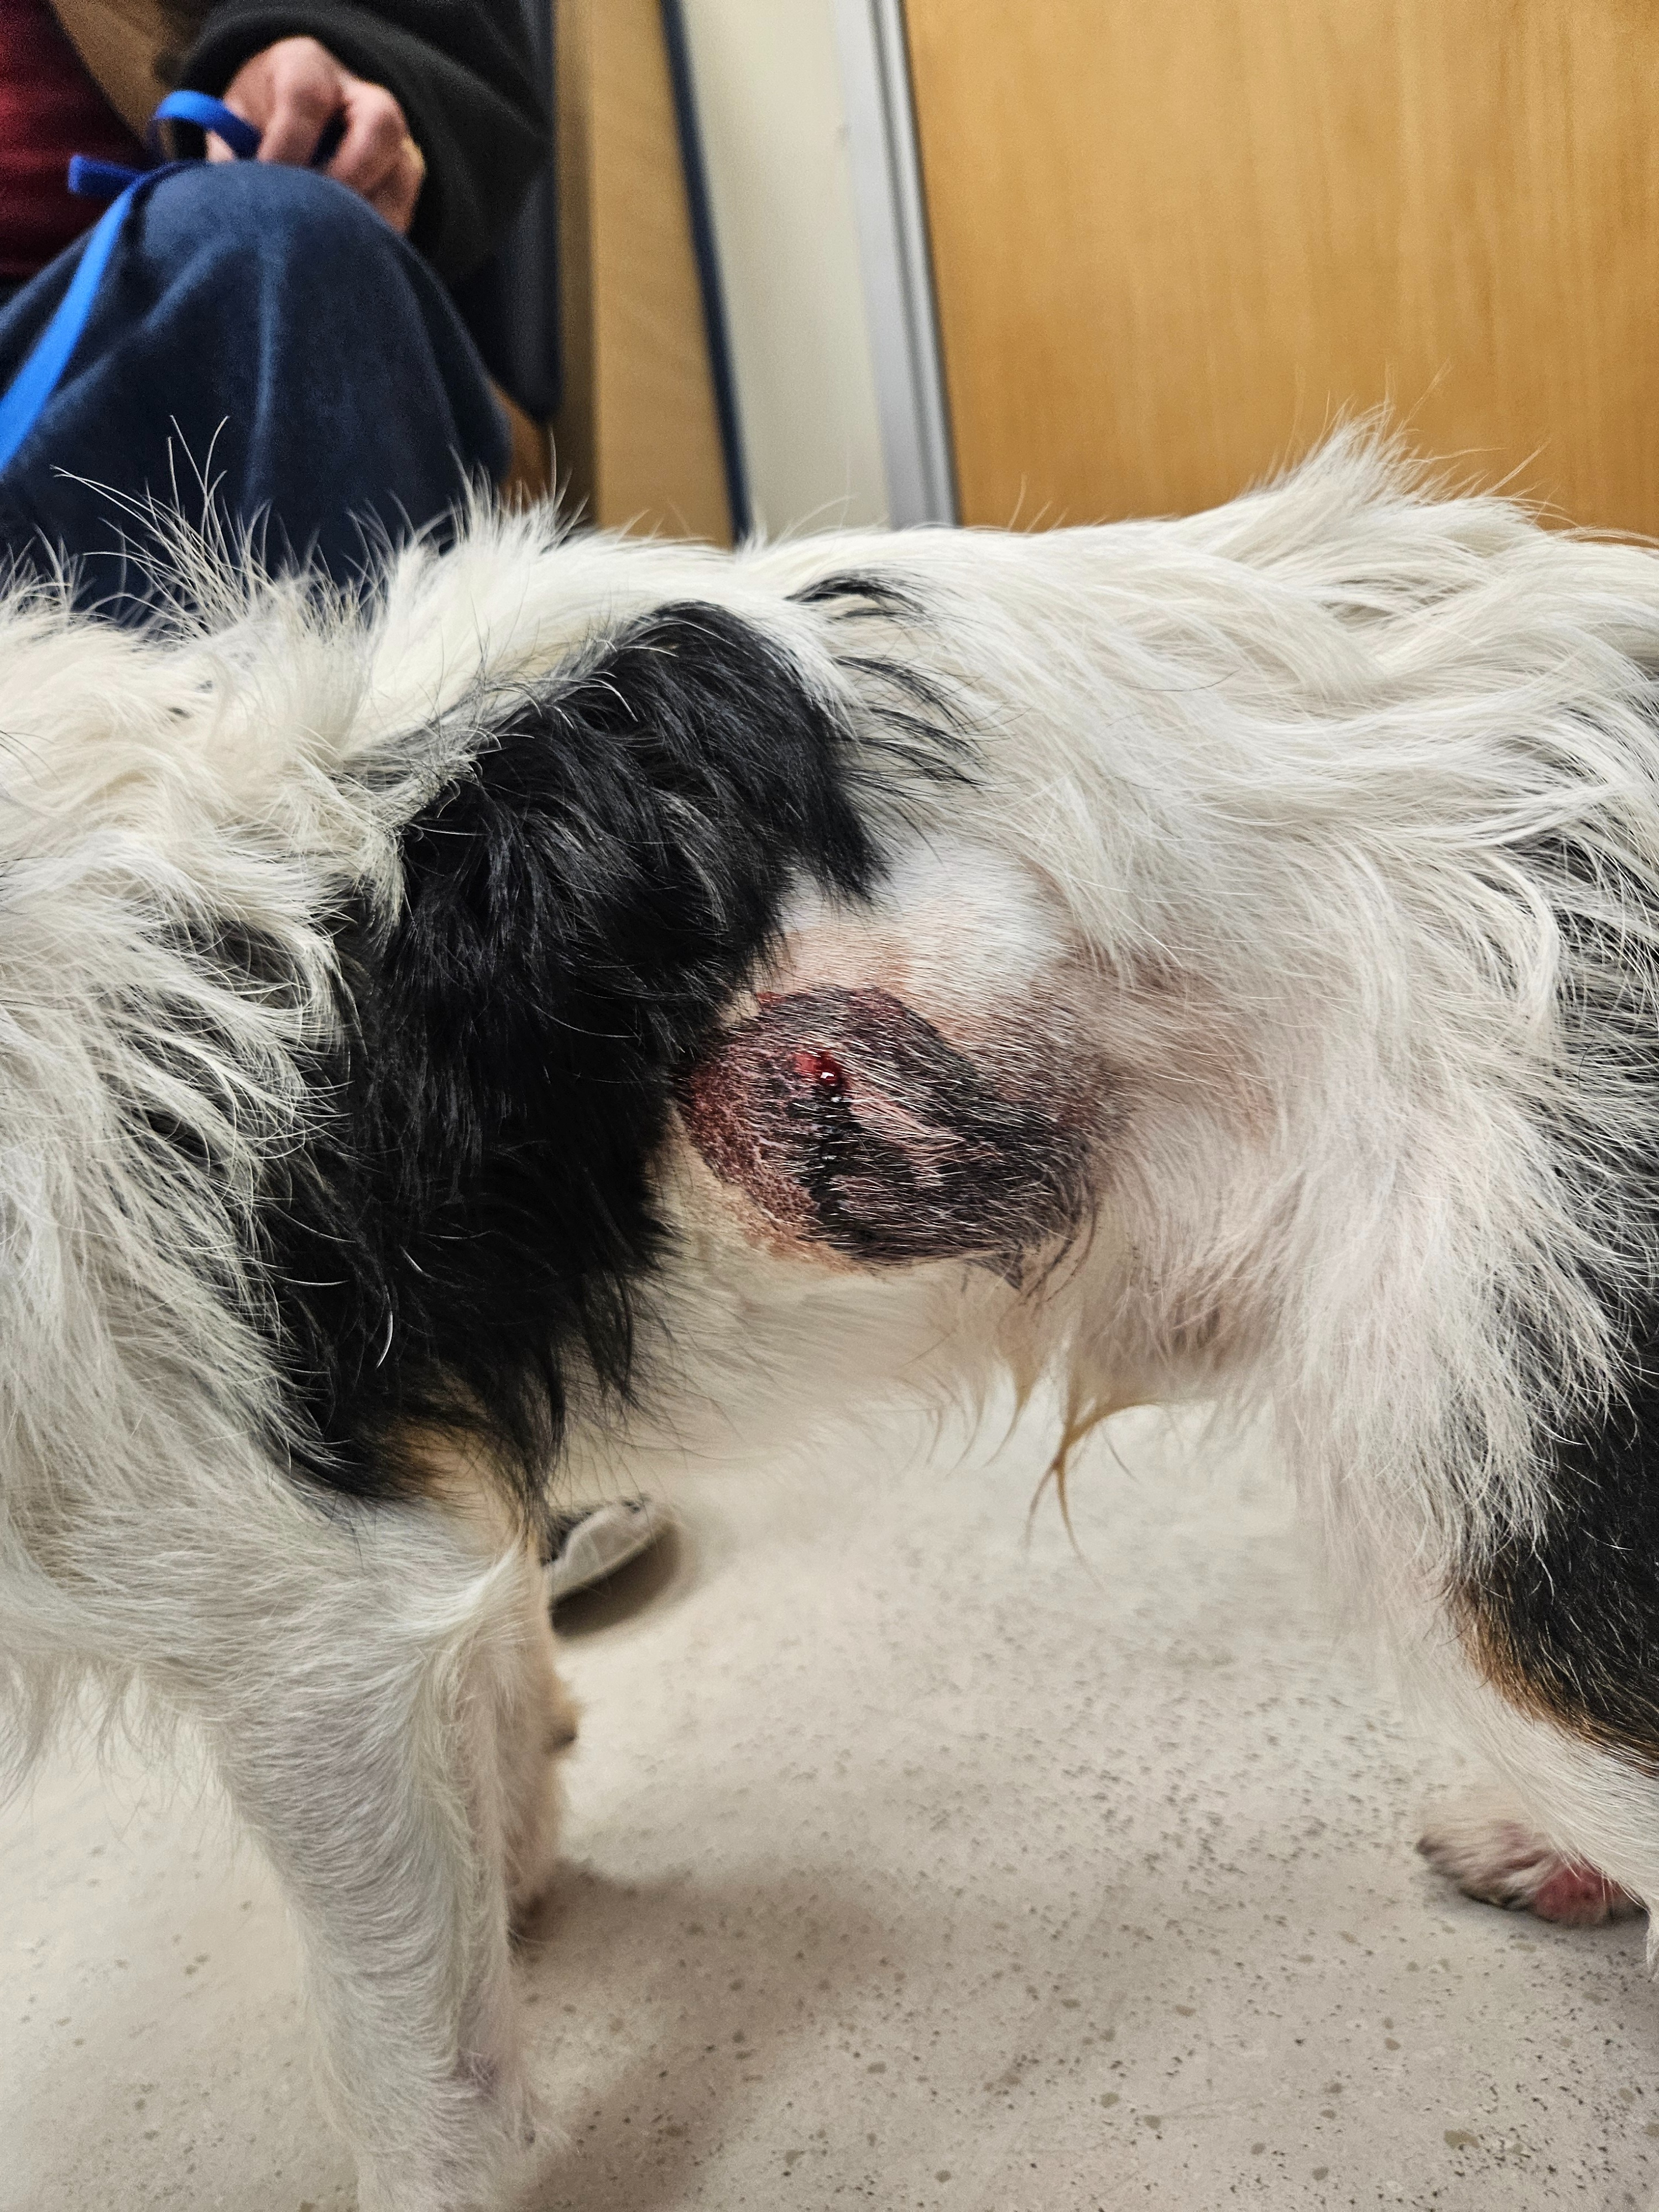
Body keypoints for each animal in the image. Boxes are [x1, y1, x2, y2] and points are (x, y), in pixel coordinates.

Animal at [5, 431, 1659, 2208]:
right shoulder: (426, 1523)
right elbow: (498, 1726)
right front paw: (522, 1858)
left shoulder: (302, 1630)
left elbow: (416, 2101)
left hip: (1482, 1485)